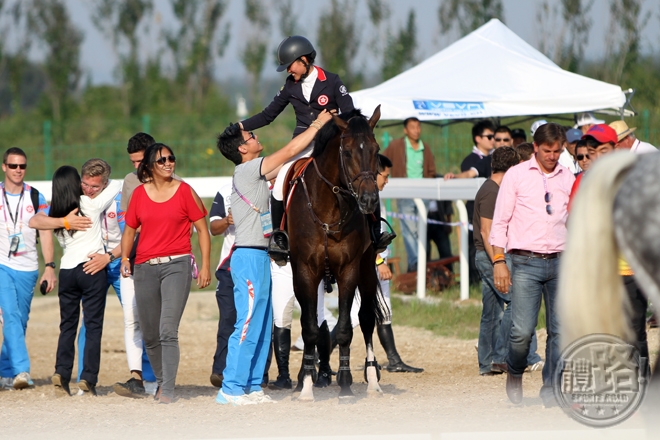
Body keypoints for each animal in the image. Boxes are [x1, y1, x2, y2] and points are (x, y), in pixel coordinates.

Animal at [284, 106, 386, 402]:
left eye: (376, 149)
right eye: (348, 152)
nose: (369, 200)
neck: (330, 209)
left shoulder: (349, 269)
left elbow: (344, 328)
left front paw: (345, 383)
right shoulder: (304, 271)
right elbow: (309, 328)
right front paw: (306, 384)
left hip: (367, 269)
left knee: (366, 319)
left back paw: (372, 380)